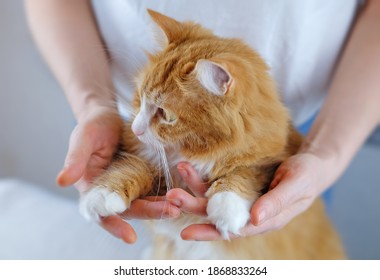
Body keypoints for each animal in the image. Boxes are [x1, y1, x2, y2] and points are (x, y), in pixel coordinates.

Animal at [79, 9, 344, 260]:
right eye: (140, 97)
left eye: (166, 115)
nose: (136, 128)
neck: (193, 153)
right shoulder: (158, 168)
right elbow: (131, 168)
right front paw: (102, 195)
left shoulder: (272, 161)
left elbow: (245, 172)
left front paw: (226, 205)